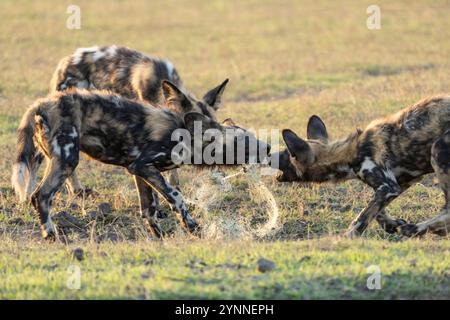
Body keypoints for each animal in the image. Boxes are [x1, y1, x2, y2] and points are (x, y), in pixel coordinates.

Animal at [11, 89, 270, 239]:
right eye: (243, 141)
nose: (268, 147)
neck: (186, 135)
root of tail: (43, 103)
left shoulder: (137, 170)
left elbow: (149, 208)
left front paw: (158, 236)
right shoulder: (145, 166)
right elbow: (176, 197)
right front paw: (192, 228)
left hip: (57, 160)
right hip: (67, 160)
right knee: (41, 196)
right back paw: (51, 235)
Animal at [270, 96, 450, 239]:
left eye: (287, 154)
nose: (270, 154)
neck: (349, 153)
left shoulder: (388, 187)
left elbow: (361, 218)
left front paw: (347, 238)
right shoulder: (400, 182)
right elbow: (376, 212)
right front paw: (391, 224)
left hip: (437, 151)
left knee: (447, 209)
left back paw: (415, 229)